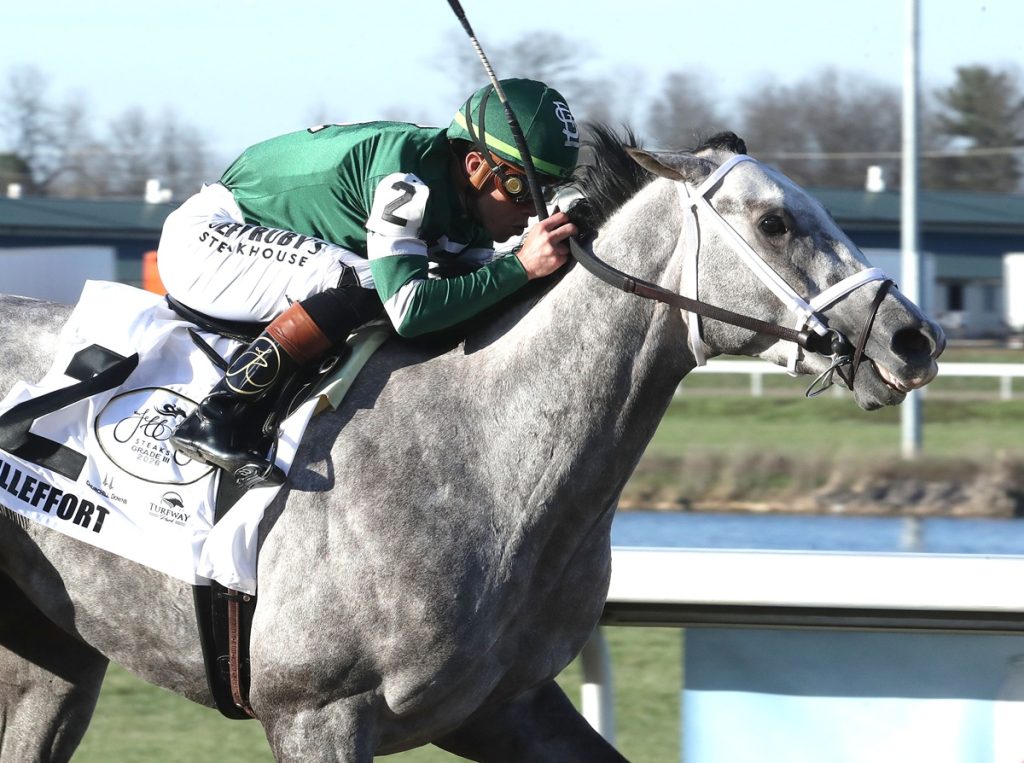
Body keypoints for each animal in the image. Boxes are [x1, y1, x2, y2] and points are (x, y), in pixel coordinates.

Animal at [0, 126, 943, 762]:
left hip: (53, 653)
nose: (913, 337)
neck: (487, 452)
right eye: (777, 222)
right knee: (342, 279)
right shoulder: (314, 710)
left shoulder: (506, 705)